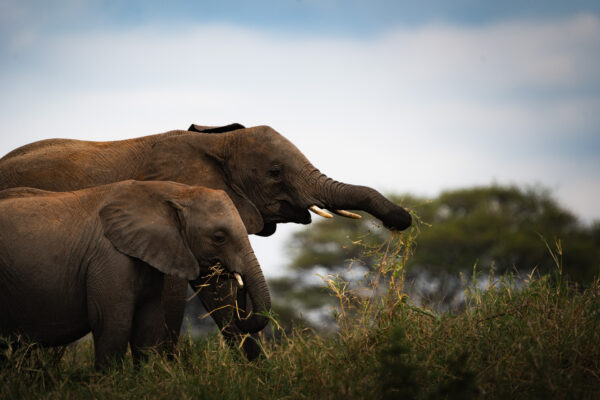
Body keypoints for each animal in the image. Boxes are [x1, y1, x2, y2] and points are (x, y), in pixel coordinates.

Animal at [0, 180, 268, 368]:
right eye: (219, 237)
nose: (239, 285)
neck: (172, 191)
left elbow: (148, 329)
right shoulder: (109, 259)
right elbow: (112, 324)